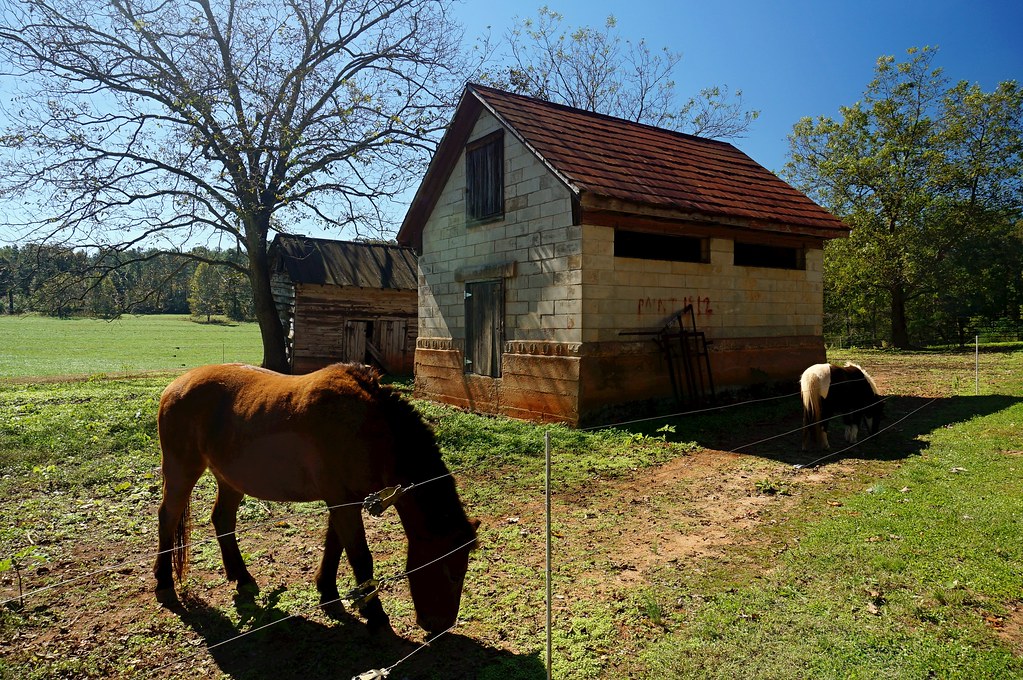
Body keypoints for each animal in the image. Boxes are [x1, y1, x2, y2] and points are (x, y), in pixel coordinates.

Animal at [153, 362, 478, 633]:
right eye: (452, 572)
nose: (440, 625)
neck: (369, 427)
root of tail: (174, 386)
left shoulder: (345, 501)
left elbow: (335, 546)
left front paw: (328, 592)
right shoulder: (343, 502)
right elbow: (360, 556)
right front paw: (375, 615)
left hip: (229, 479)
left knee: (222, 520)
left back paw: (242, 577)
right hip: (182, 471)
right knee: (168, 518)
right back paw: (164, 582)